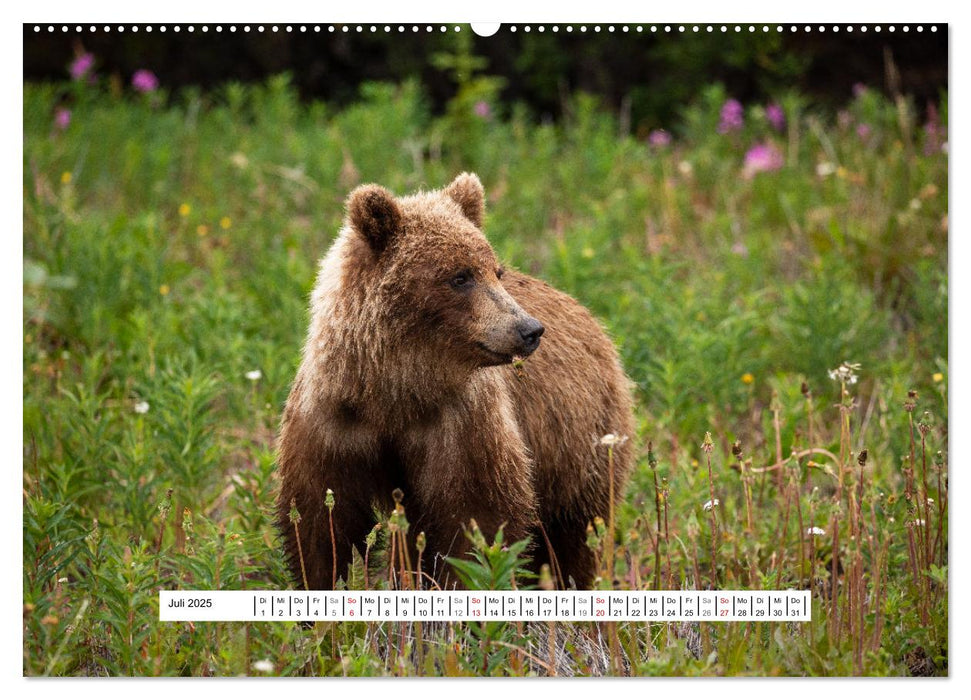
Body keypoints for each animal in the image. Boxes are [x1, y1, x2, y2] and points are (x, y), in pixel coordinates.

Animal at [276, 172, 636, 588]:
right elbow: (321, 520)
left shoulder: (461, 423)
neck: (395, 390)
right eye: (459, 276)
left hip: (581, 445)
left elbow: (477, 516)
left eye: (495, 270)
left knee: (573, 533)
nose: (529, 329)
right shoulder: (334, 419)